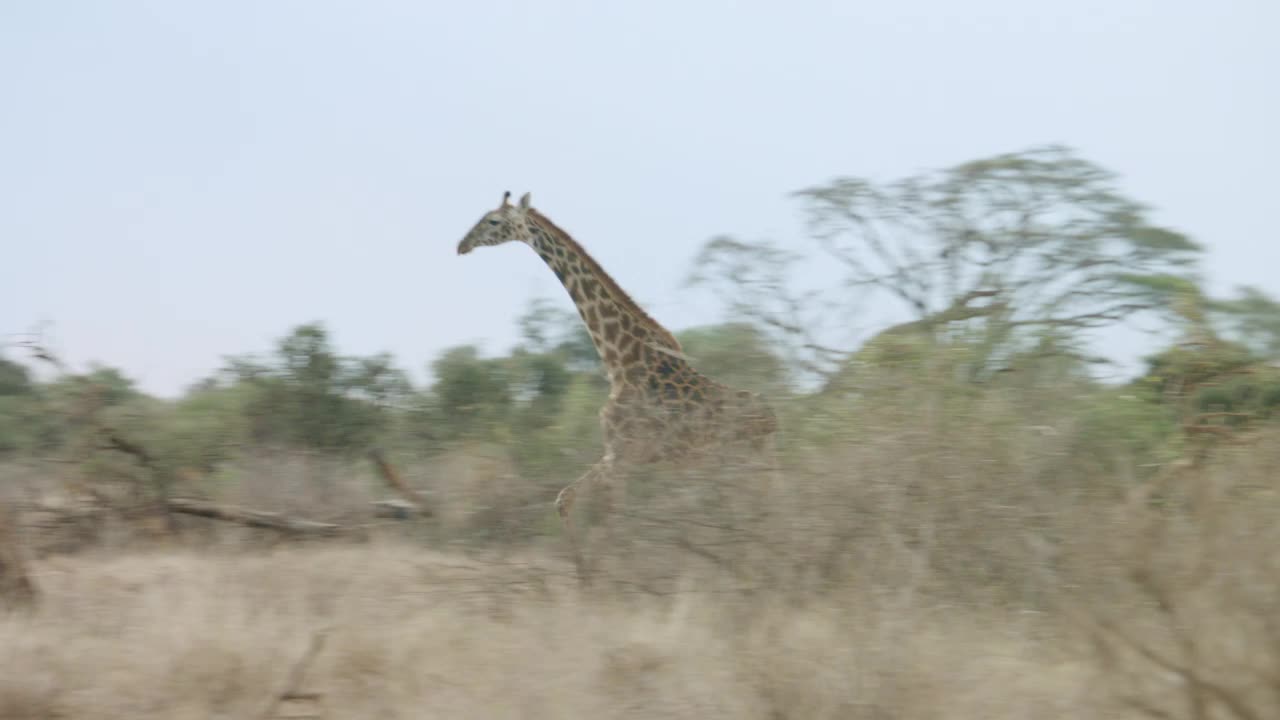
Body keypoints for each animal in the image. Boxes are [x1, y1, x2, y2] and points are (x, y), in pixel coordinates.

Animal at [460, 189, 778, 576]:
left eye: (493, 221)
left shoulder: (623, 455)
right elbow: (566, 500)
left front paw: (603, 581)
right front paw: (585, 577)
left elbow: (611, 522)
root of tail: (773, 417)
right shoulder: (617, 454)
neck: (620, 359)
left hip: (735, 461)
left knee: (757, 512)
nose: (462, 245)